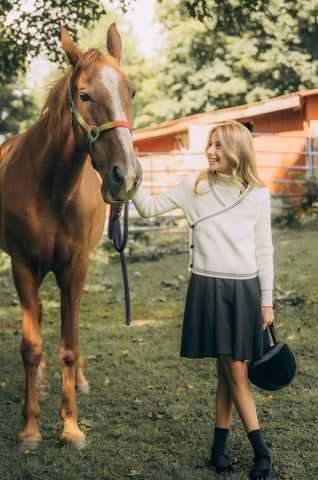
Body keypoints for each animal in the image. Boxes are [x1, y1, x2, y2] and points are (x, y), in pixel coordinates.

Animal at [0, 25, 142, 446]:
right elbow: (31, 346)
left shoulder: (75, 267)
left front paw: (71, 427)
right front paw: (30, 428)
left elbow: (70, 346)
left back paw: (77, 382)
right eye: (84, 95)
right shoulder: (22, 266)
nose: (126, 176)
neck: (51, 189)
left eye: (131, 92)